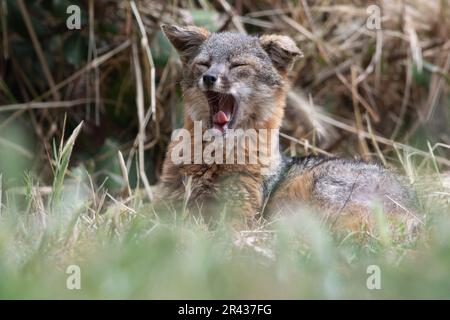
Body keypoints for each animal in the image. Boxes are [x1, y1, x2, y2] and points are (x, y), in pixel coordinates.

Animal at [157, 24, 418, 230]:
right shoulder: (168, 206)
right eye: (204, 64)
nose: (209, 78)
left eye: (238, 65)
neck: (213, 162)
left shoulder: (238, 213)